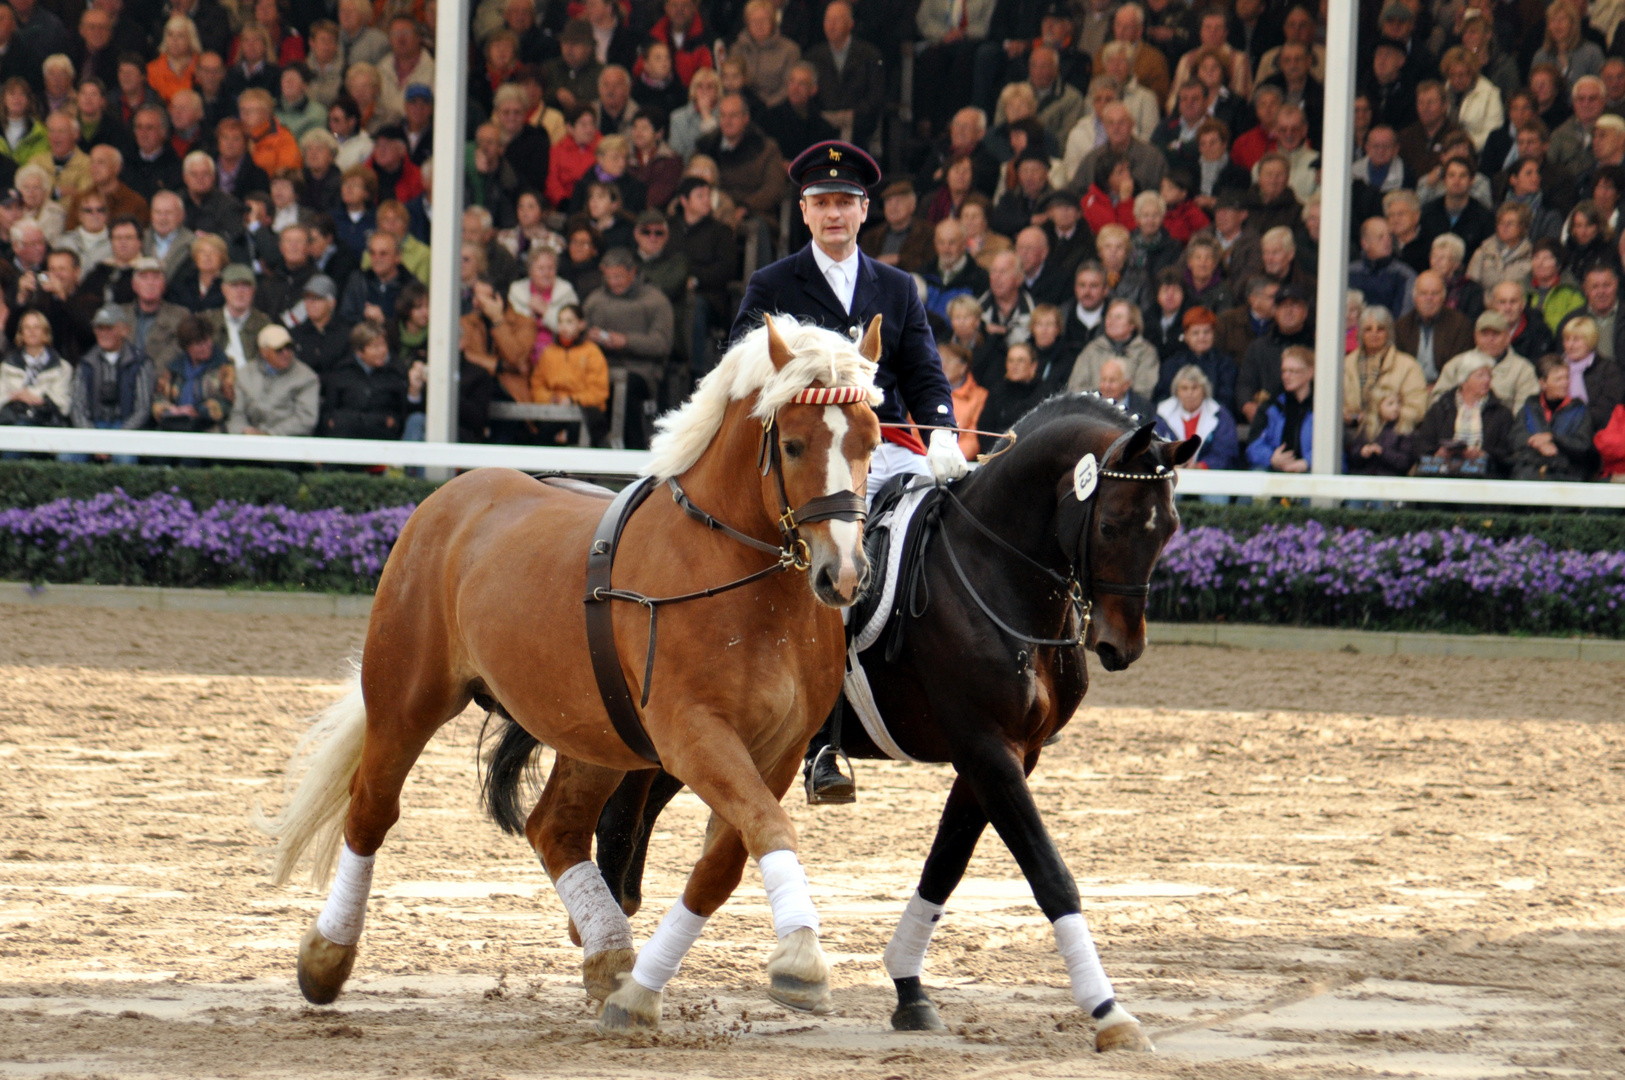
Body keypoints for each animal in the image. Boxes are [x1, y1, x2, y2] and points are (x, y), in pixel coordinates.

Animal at [260, 316, 884, 1032]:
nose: (842, 575)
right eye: (793, 443)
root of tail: (452, 496)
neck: (745, 582)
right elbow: (769, 829)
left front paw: (640, 992)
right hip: (407, 699)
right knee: (371, 810)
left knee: (554, 828)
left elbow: (723, 865)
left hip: (594, 735)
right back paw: (327, 956)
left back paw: (610, 955)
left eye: (871, 441)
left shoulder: (778, 751)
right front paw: (801, 961)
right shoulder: (693, 735)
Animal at [565, 391, 1202, 1045]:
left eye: (1171, 527)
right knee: (618, 822)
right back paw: (614, 963)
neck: (992, 569)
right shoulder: (986, 748)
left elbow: (945, 867)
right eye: (1110, 524)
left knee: (632, 823)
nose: (1120, 647)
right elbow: (1048, 873)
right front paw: (1108, 1011)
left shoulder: (1005, 755)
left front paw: (909, 987)